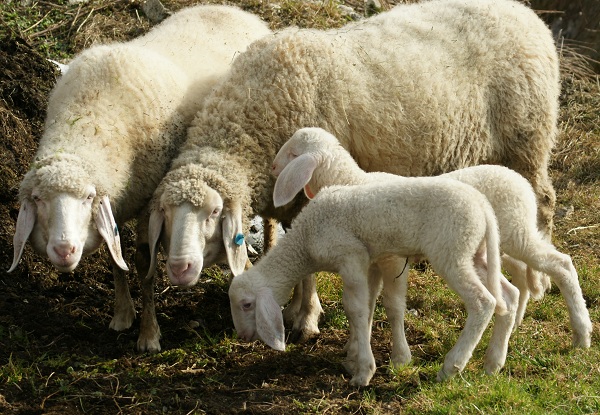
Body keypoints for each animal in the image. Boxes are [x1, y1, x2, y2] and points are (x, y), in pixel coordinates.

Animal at [9, 4, 272, 352]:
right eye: (38, 199)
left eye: (88, 197)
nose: (64, 251)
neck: (88, 118)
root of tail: (232, 9)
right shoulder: (117, 201)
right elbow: (114, 254)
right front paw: (122, 315)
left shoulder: (151, 201)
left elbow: (143, 263)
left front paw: (149, 334)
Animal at [148, 0, 560, 344]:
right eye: (164, 214)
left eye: (214, 212)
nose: (180, 269)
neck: (251, 119)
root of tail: (526, 13)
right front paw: (295, 307)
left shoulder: (307, 198)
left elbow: (309, 268)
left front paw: (306, 317)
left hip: (527, 139)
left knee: (544, 203)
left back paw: (539, 283)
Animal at [230, 174, 520, 386]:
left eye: (246, 304)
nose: (242, 336)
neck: (305, 240)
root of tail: (482, 205)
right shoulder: (368, 262)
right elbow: (368, 306)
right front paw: (356, 356)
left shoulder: (350, 255)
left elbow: (354, 309)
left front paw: (363, 373)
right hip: (475, 252)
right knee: (509, 295)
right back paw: (493, 363)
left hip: (452, 251)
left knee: (484, 302)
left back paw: (452, 366)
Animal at [274, 127, 596, 368]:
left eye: (292, 153)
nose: (275, 167)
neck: (351, 181)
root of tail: (520, 182)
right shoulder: (371, 260)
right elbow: (367, 302)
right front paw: (355, 349)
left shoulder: (392, 259)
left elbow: (392, 305)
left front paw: (398, 358)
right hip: (493, 245)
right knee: (515, 282)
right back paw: (505, 339)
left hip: (514, 234)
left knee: (561, 265)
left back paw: (581, 334)